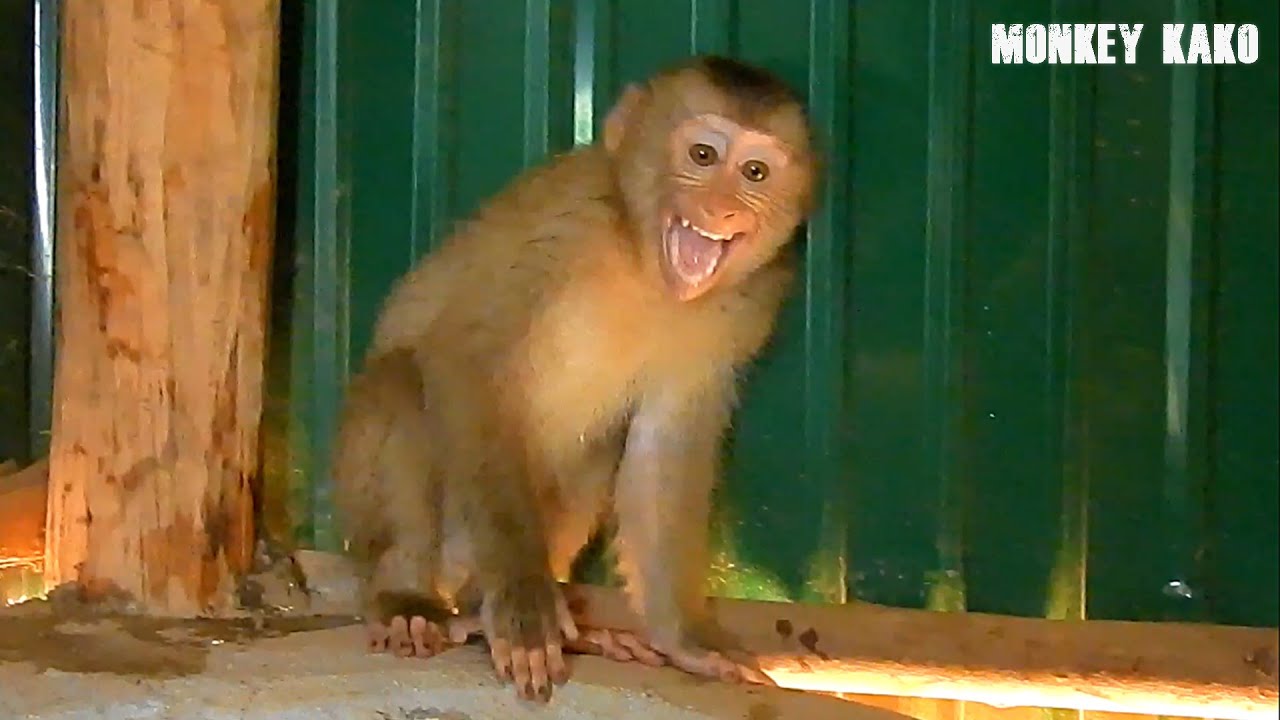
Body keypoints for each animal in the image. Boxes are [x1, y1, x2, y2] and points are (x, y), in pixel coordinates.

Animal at [331, 54, 819, 703]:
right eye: (702, 157)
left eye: (755, 172)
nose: (722, 209)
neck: (642, 262)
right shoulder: (564, 225)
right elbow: (467, 358)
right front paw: (522, 601)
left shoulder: (748, 303)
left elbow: (666, 443)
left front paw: (688, 639)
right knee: (404, 382)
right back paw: (409, 598)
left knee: (596, 452)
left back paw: (513, 619)